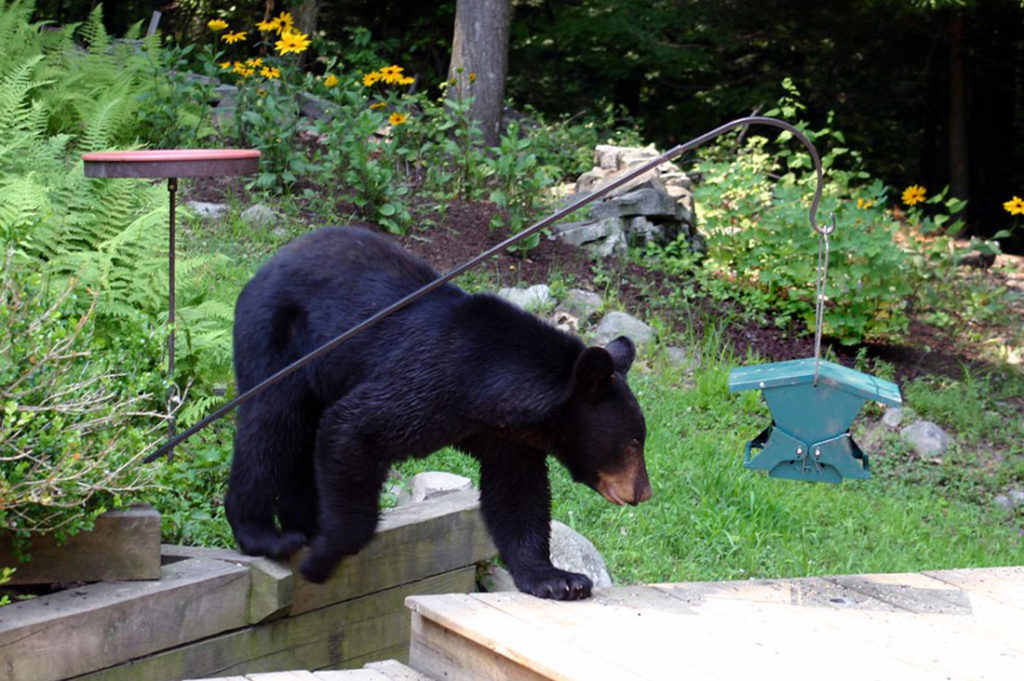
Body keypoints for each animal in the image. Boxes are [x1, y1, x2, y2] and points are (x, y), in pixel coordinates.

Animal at [227, 225, 651, 598]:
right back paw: (265, 534)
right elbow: (354, 427)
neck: (492, 387)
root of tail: (272, 260)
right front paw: (323, 558)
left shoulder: (504, 434)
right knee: (270, 425)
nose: (643, 492)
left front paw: (558, 579)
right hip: (277, 338)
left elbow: (518, 490)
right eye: (633, 442)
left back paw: (302, 521)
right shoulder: (432, 381)